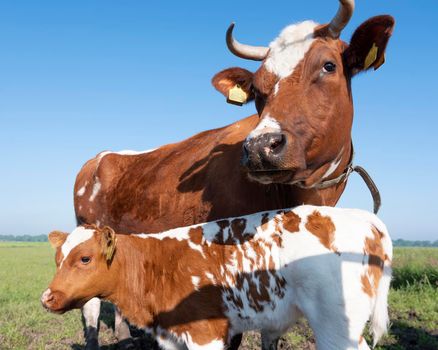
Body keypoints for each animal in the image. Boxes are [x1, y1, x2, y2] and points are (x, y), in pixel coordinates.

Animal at [42, 205, 392, 350]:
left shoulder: (204, 335)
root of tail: (363, 217)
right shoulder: (173, 337)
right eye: (58, 259)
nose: (48, 297)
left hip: (336, 325)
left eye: (85, 258)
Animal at [73, 0, 396, 348]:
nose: (260, 146)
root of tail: (98, 158)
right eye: (256, 87)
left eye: (328, 66)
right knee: (90, 305)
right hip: (89, 230)